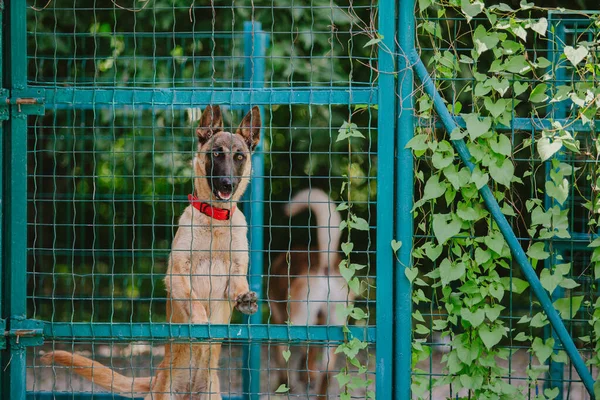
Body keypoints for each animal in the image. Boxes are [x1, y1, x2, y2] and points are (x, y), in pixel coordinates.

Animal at [39, 104, 260, 398]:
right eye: (216, 153)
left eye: (239, 156)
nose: (227, 184)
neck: (214, 221)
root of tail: (157, 377)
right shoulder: (177, 275)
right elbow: (194, 302)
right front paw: (202, 320)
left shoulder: (234, 274)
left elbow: (238, 288)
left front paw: (246, 300)